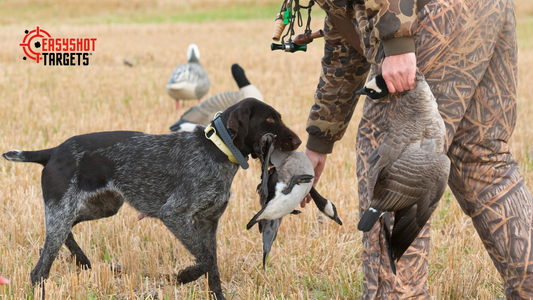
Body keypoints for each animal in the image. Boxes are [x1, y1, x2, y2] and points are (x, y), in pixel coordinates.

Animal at [2, 97, 300, 298]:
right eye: (270, 120)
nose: (298, 142)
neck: (217, 149)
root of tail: (53, 152)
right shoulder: (174, 214)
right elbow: (205, 258)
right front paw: (184, 276)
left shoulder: (209, 222)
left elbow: (212, 264)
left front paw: (216, 295)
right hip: (63, 210)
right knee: (39, 270)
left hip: (101, 206)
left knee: (66, 233)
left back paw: (82, 261)